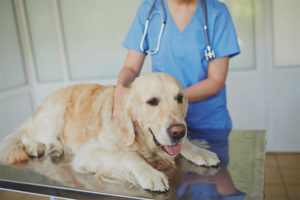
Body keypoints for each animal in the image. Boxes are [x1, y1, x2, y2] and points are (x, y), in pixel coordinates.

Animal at [0, 72, 219, 191]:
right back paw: (36, 147)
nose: (178, 131)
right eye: (152, 102)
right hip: (54, 114)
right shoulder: (90, 152)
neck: (142, 139)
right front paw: (151, 174)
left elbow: (186, 145)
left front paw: (201, 151)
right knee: (25, 134)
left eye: (179, 98)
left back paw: (54, 148)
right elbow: (129, 156)